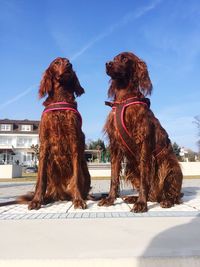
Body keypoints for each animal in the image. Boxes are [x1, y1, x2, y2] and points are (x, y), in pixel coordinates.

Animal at [98, 51, 183, 213]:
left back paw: (166, 201)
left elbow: (145, 177)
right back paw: (134, 198)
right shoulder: (115, 145)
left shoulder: (144, 142)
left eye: (125, 58)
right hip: (131, 168)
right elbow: (113, 177)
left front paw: (141, 204)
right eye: (114, 58)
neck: (123, 99)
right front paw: (110, 199)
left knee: (174, 196)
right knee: (152, 195)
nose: (107, 64)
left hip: (169, 165)